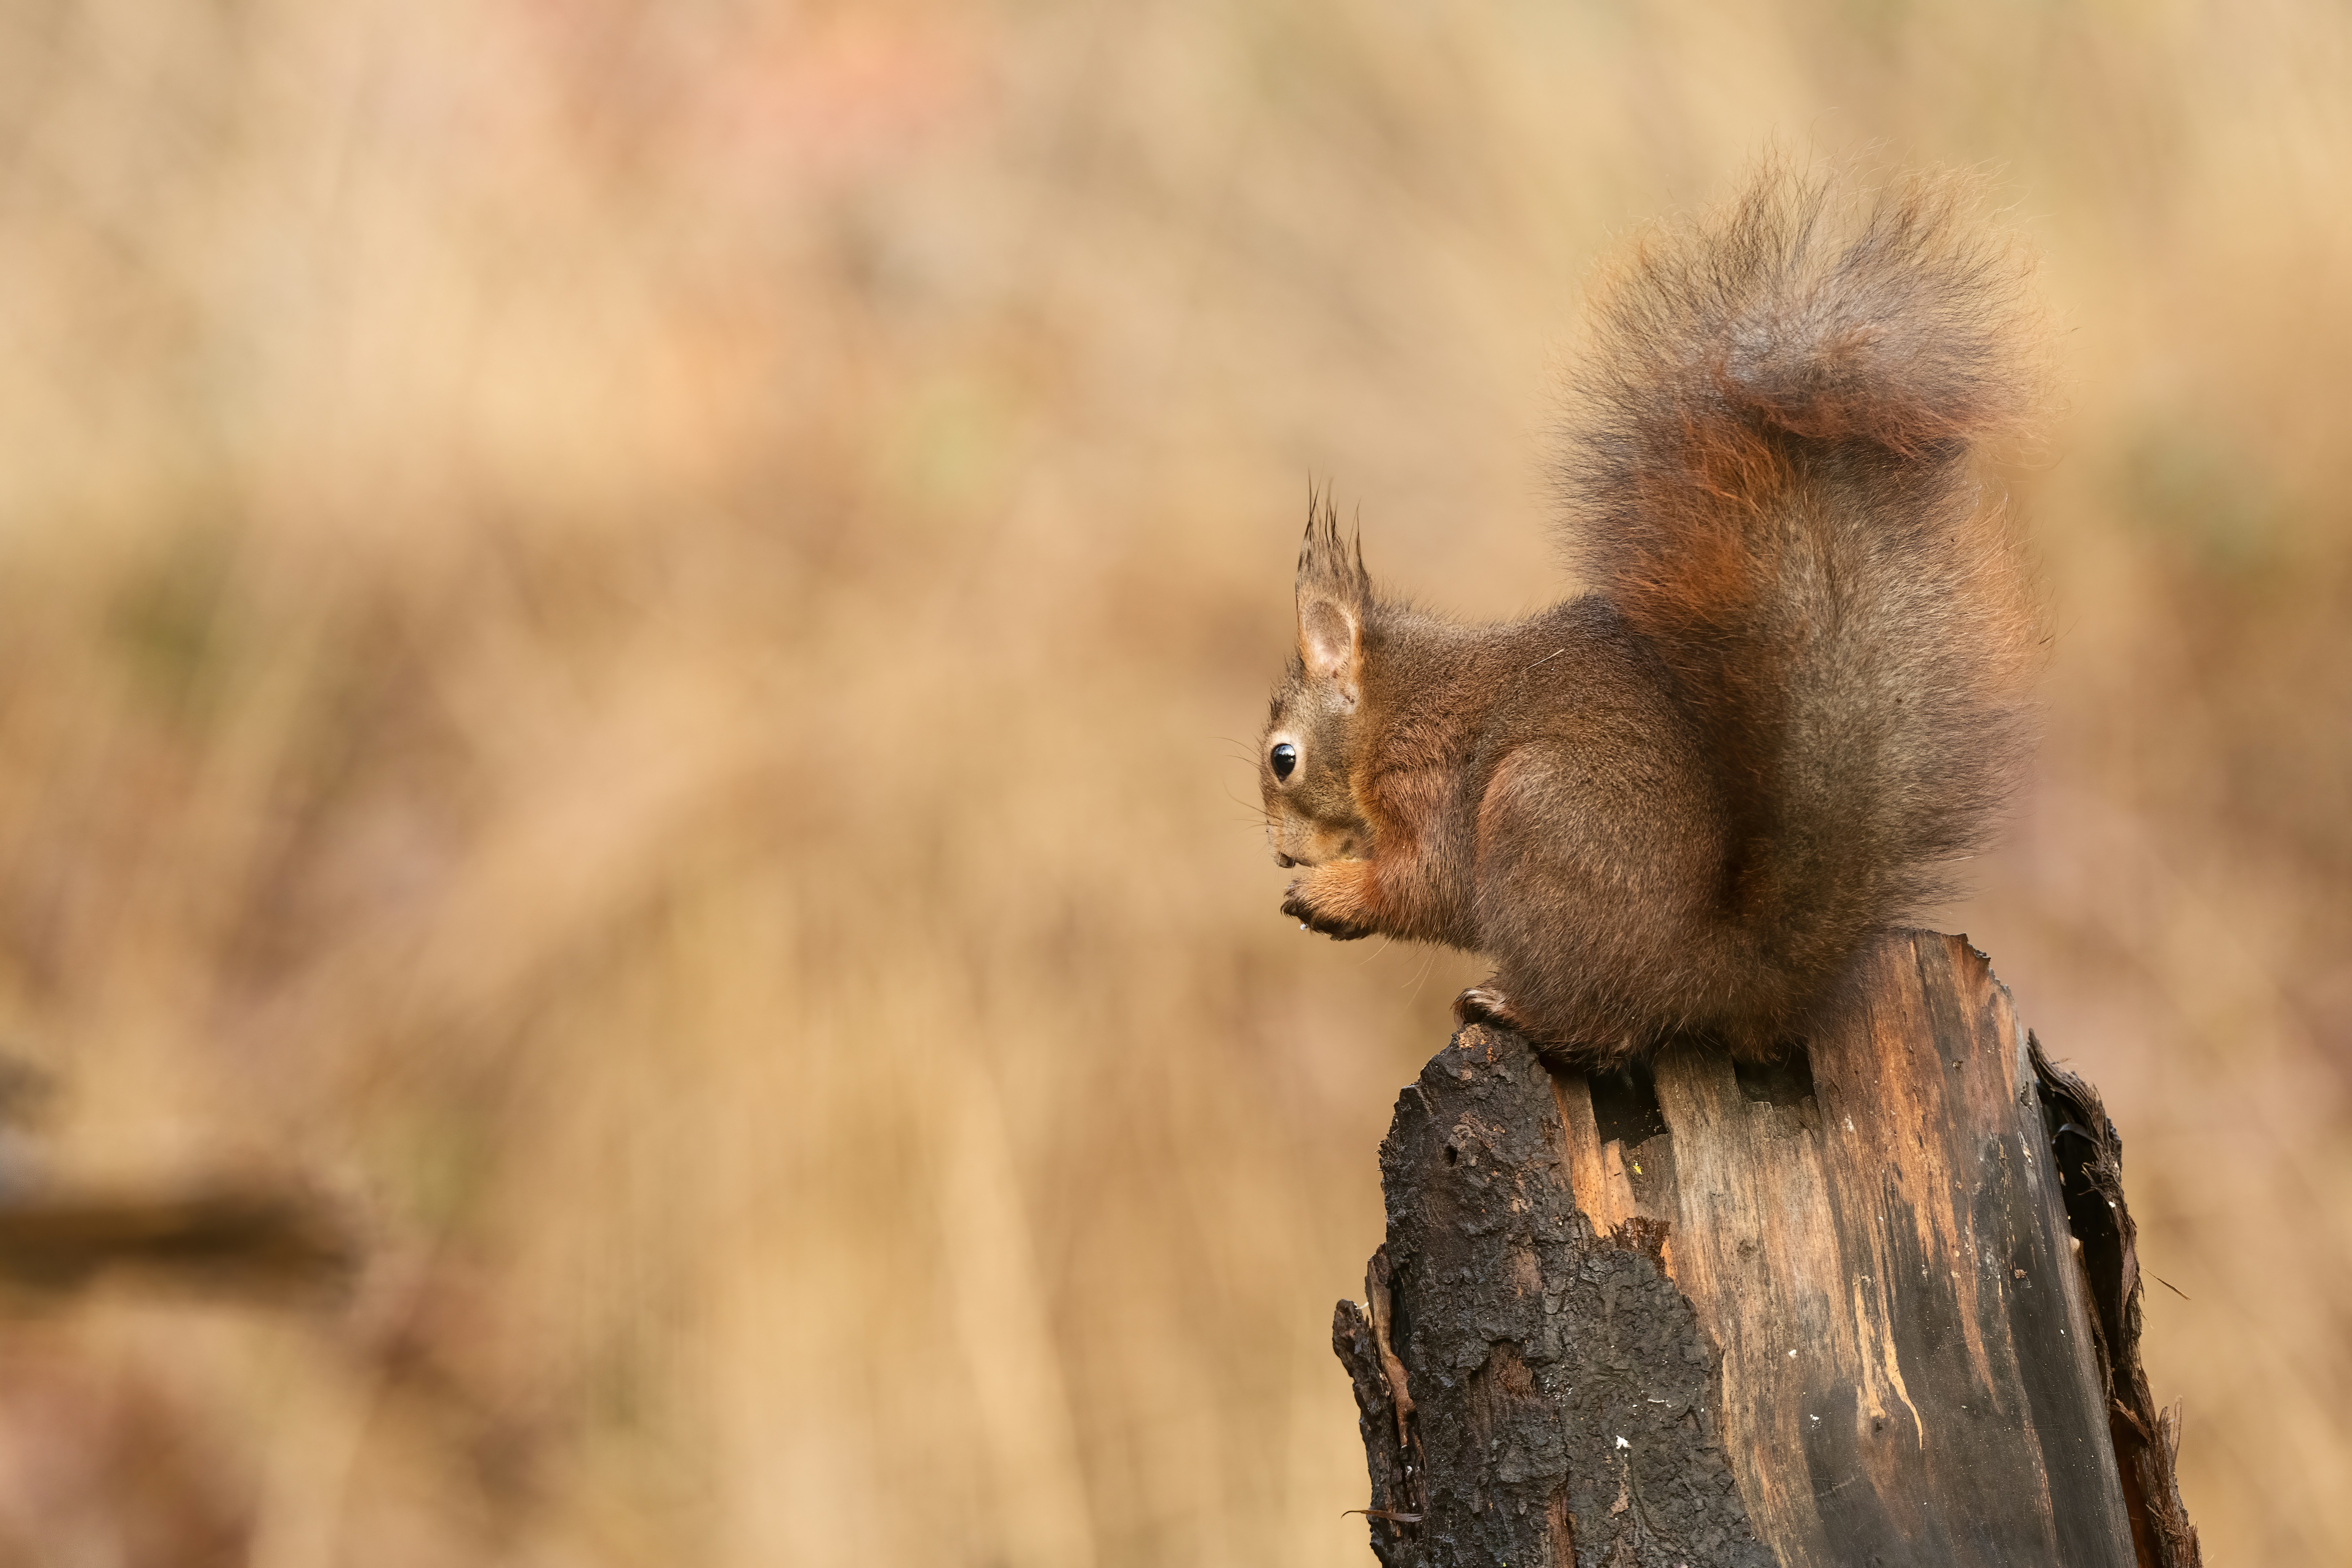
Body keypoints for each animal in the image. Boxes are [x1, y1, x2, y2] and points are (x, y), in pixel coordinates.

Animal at [1260, 169, 2051, 1067]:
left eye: (1282, 759)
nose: (1280, 852)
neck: (1389, 708)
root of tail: (1716, 976)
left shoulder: (1426, 782)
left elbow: (1425, 885)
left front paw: (1330, 892)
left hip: (1539, 817)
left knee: (1610, 1023)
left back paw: (1519, 1007)